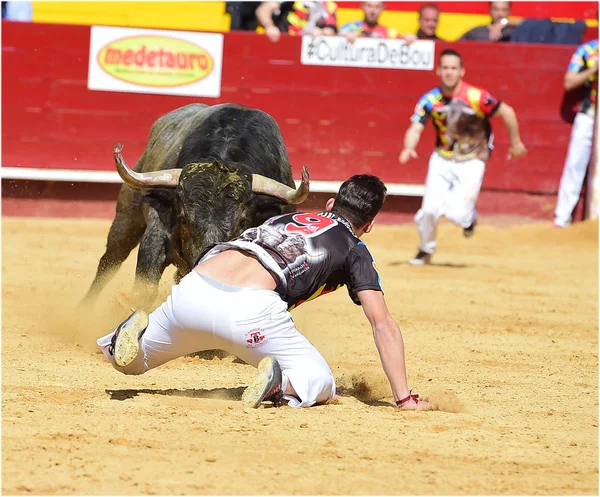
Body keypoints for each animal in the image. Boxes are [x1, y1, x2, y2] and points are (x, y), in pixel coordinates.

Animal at [81, 103, 310, 308]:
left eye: (242, 222)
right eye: (183, 218)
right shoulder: (156, 236)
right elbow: (145, 291)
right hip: (127, 218)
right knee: (109, 262)